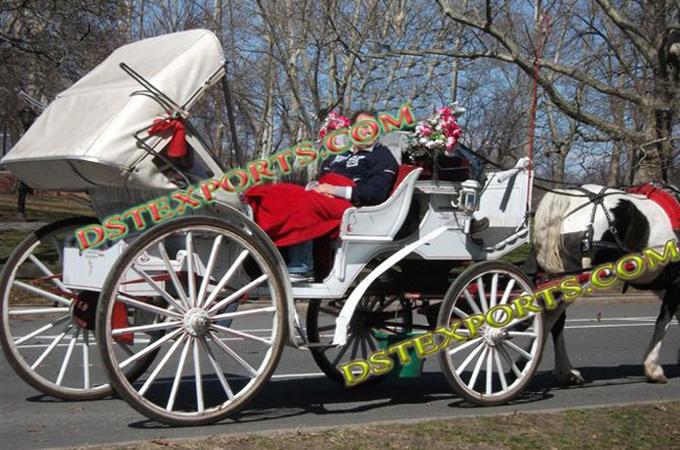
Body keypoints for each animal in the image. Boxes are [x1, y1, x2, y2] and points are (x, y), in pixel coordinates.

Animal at [532, 185, 680, 384]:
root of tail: (568, 200)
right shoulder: (675, 282)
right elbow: (663, 321)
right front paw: (654, 368)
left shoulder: (664, 287)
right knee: (550, 318)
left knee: (556, 321)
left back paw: (566, 371)